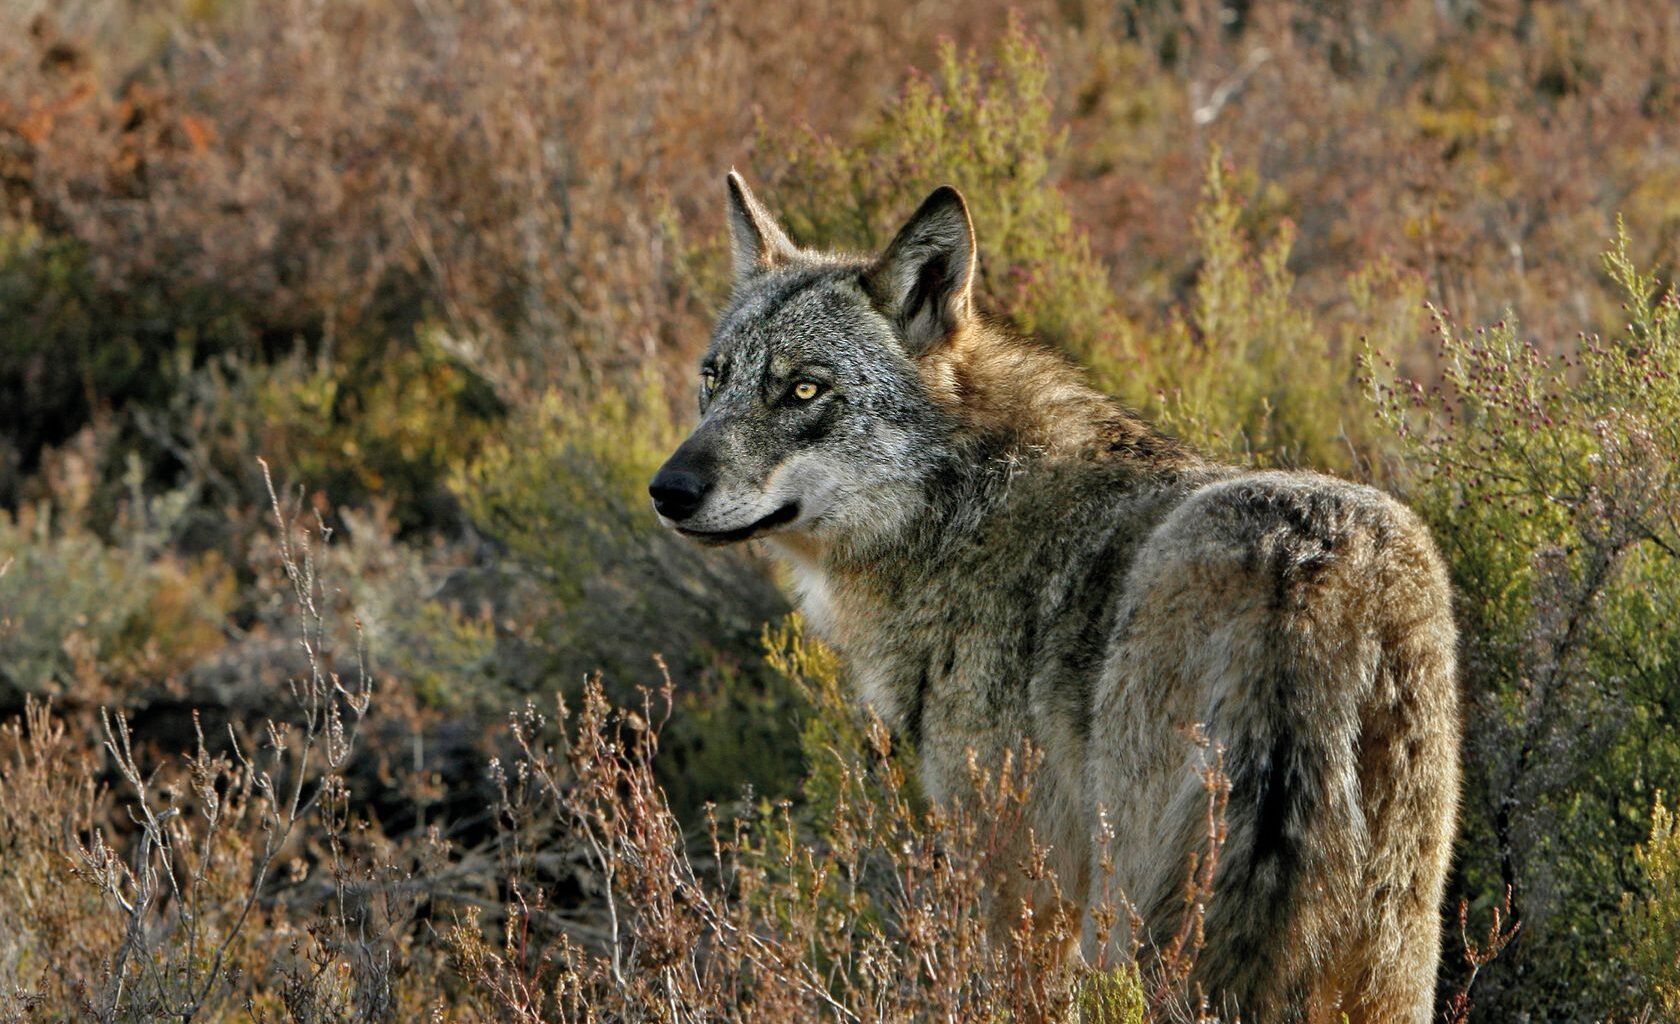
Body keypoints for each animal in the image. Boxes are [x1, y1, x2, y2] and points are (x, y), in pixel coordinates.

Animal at [649, 173, 1461, 1023]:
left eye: (804, 389)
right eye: (714, 378)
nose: (668, 490)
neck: (961, 508)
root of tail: (1301, 569)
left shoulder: (1018, 883)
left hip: (1133, 918)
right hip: (1391, 958)